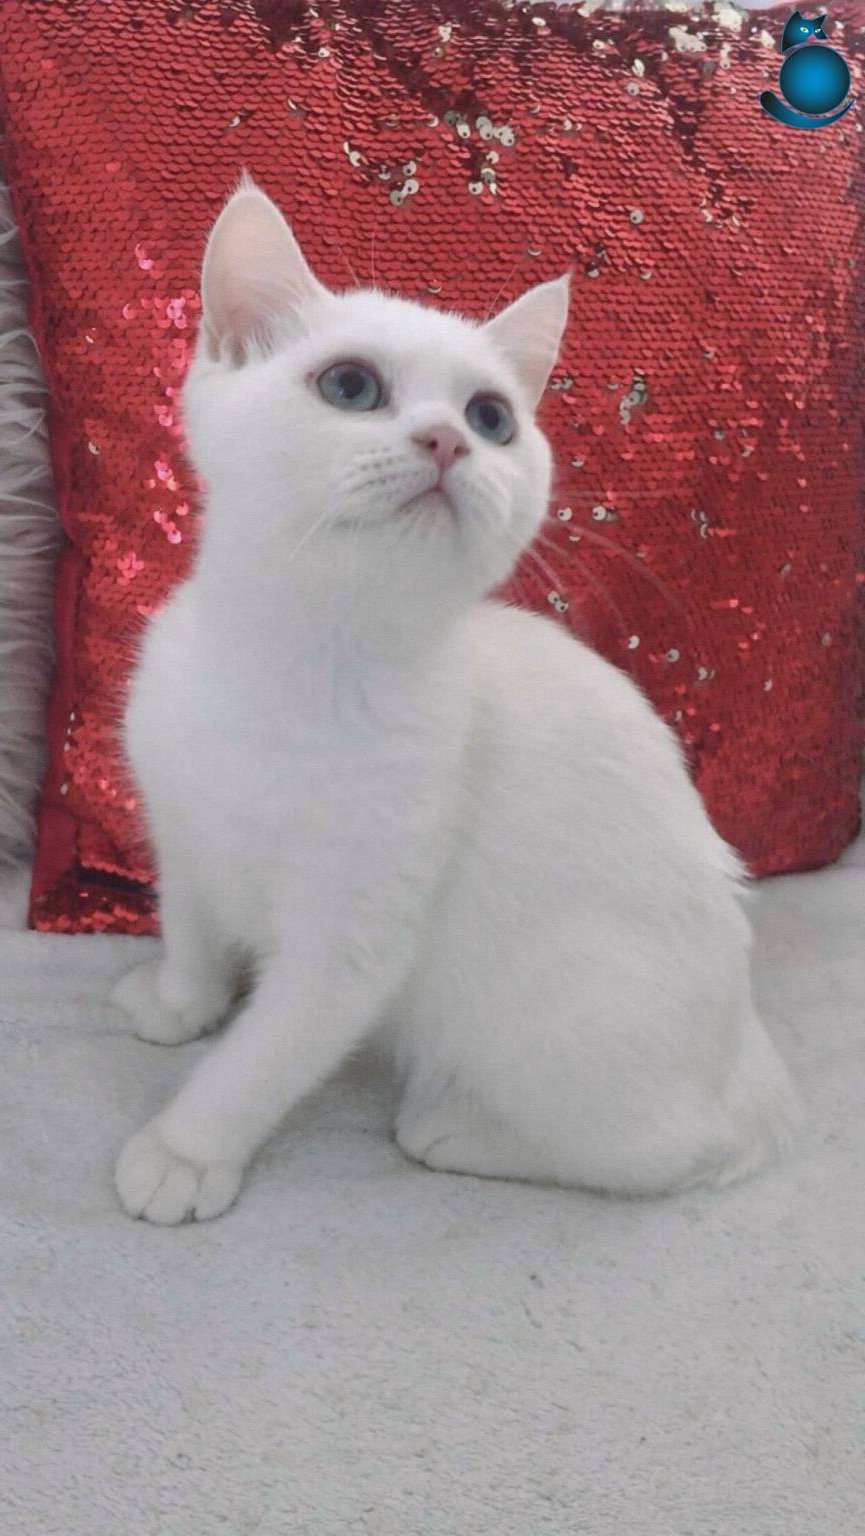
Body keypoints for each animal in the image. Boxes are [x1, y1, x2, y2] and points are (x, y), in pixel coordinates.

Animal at [113, 176, 799, 1224]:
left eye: (490, 417)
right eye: (349, 387)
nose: (445, 440)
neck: (295, 659)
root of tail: (747, 1056)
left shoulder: (353, 935)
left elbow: (262, 1057)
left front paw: (185, 1150)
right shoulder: (180, 826)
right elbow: (188, 924)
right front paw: (178, 1003)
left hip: (552, 1014)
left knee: (667, 1151)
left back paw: (455, 1131)